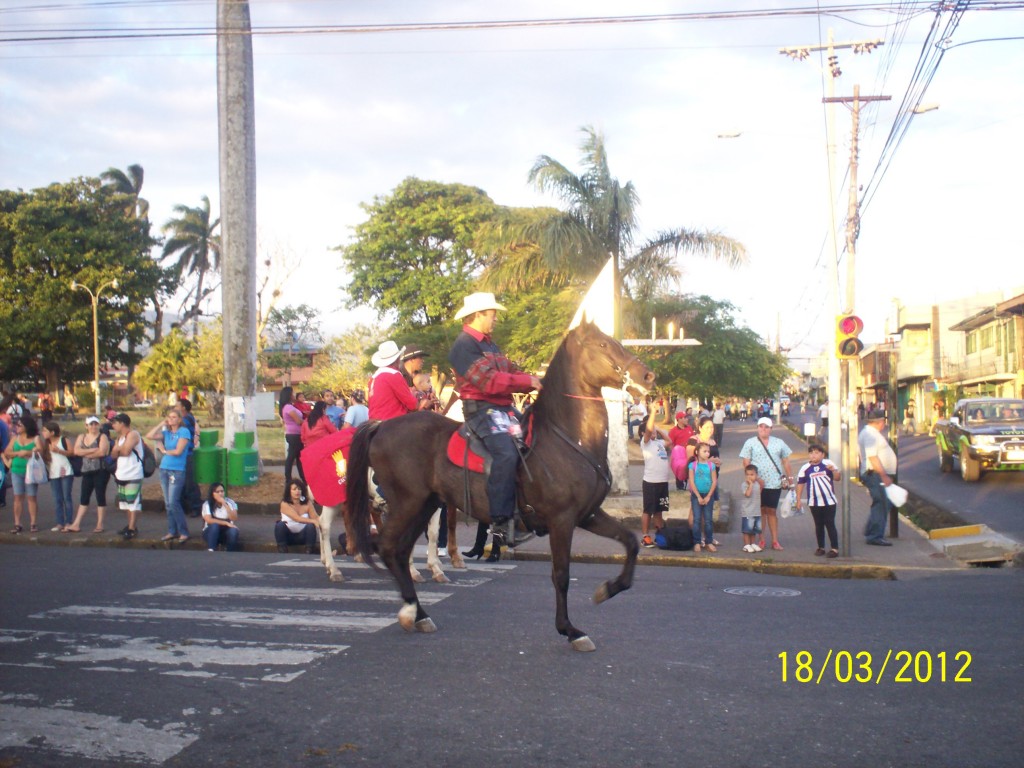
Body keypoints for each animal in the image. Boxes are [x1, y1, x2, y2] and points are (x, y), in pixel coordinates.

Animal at [348, 321, 655, 651]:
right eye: (602, 345)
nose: (647, 376)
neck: (570, 439)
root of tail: (381, 426)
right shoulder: (562, 520)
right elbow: (561, 574)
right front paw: (570, 630)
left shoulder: (588, 514)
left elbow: (631, 542)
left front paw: (608, 588)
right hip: (408, 503)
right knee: (387, 547)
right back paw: (409, 610)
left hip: (425, 505)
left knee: (401, 551)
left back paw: (419, 614)